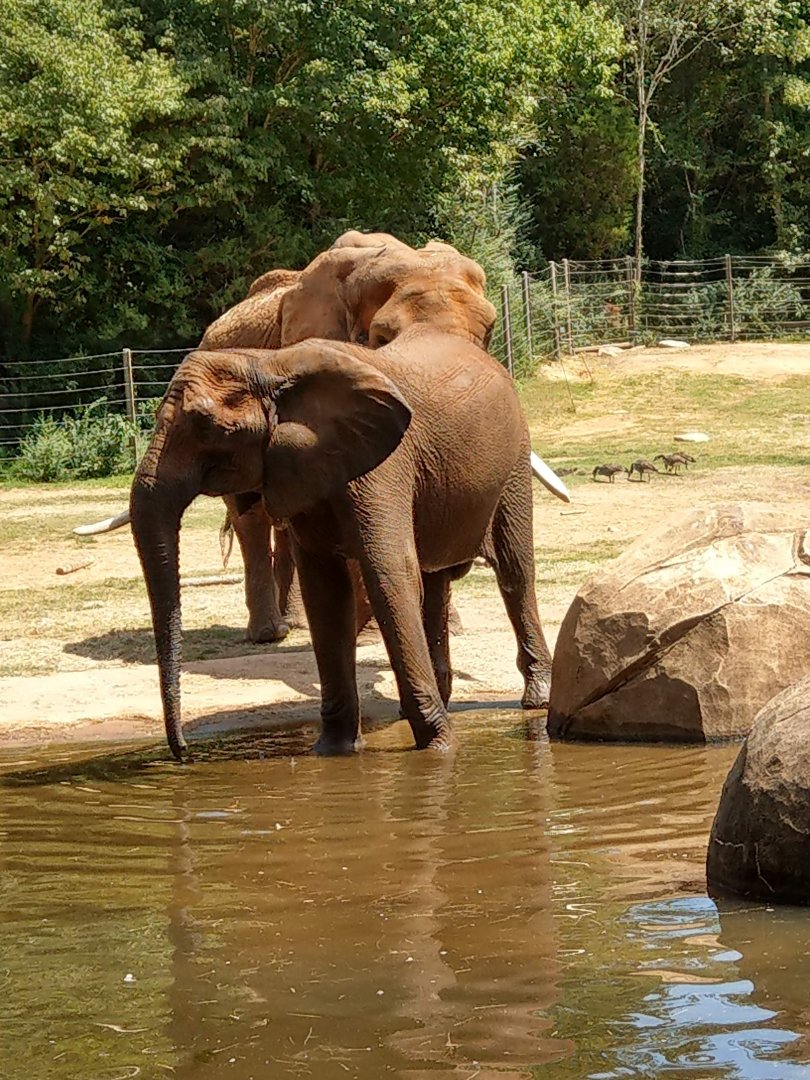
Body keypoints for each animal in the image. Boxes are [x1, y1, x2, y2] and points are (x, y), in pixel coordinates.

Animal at [130, 332, 553, 760]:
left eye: (205, 426)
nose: (183, 753)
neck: (268, 364)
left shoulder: (384, 468)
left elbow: (390, 575)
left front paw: (439, 750)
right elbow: (325, 592)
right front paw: (333, 751)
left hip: (515, 460)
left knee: (514, 571)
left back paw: (537, 700)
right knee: (436, 583)